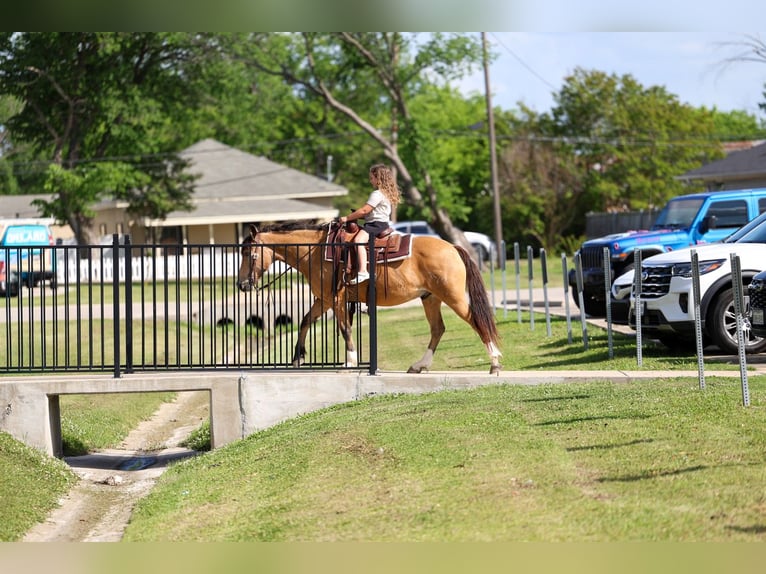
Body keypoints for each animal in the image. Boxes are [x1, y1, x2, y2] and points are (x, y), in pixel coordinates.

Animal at [237, 221, 502, 375]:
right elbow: (305, 321)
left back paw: (495, 362)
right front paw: (297, 358)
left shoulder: (336, 298)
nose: (241, 285)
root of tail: (452, 248)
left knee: (476, 321)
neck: (315, 251)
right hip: (430, 298)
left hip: (453, 296)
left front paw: (350, 360)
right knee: (438, 329)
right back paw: (420, 365)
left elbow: (344, 328)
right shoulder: (323, 300)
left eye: (249, 253)